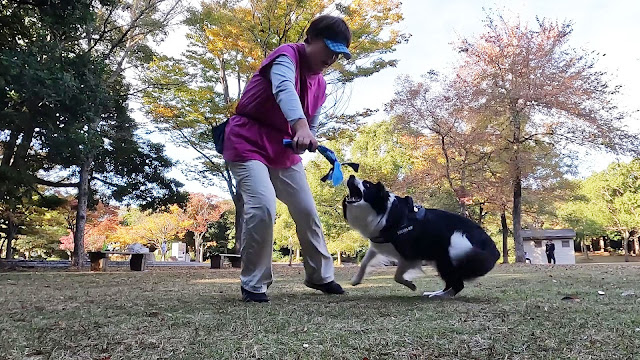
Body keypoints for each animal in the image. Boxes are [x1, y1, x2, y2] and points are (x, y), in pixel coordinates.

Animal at [342, 175, 502, 298]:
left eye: (367, 184)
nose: (351, 176)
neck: (386, 213)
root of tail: (494, 250)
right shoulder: (379, 243)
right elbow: (364, 262)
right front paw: (356, 280)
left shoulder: (410, 255)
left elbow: (397, 276)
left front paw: (410, 284)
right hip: (441, 261)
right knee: (452, 282)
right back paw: (436, 293)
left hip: (449, 254)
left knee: (458, 284)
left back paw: (442, 296)